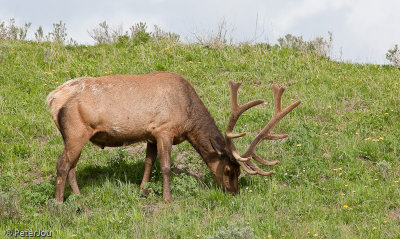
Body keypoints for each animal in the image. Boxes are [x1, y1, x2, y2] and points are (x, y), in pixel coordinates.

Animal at [46, 72, 300, 203]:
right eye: (228, 170)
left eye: (238, 171)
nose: (233, 192)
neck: (188, 117)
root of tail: (52, 99)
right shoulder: (164, 130)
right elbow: (166, 166)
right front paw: (167, 199)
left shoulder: (150, 134)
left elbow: (148, 162)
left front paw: (143, 191)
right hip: (76, 131)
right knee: (62, 164)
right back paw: (59, 203)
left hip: (73, 136)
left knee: (72, 166)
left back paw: (79, 198)